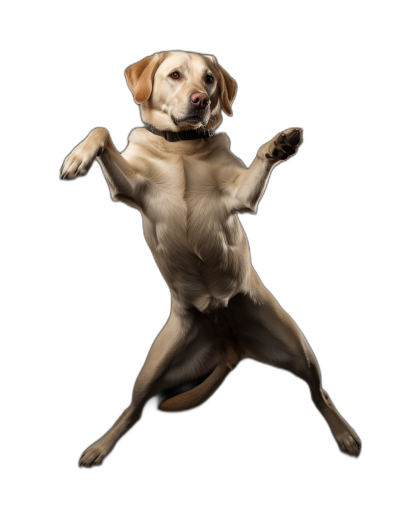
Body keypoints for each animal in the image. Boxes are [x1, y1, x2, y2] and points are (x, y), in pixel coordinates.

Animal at [60, 50, 362, 466]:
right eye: (175, 75)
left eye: (210, 79)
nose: (201, 100)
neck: (182, 148)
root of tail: (230, 346)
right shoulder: (131, 187)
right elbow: (101, 130)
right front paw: (78, 157)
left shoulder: (240, 198)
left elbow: (257, 163)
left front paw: (277, 146)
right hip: (153, 368)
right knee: (133, 409)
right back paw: (101, 446)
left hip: (299, 348)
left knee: (320, 393)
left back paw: (344, 433)